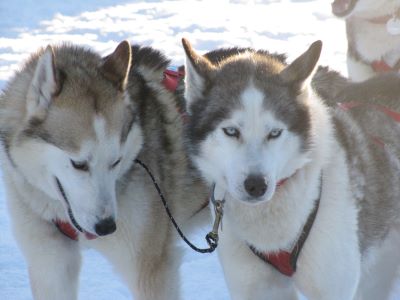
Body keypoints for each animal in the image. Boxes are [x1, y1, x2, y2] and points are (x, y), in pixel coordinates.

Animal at [0, 41, 206, 300]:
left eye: (115, 162)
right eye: (79, 164)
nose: (107, 227)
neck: (61, 214)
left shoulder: (151, 272)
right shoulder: (49, 263)